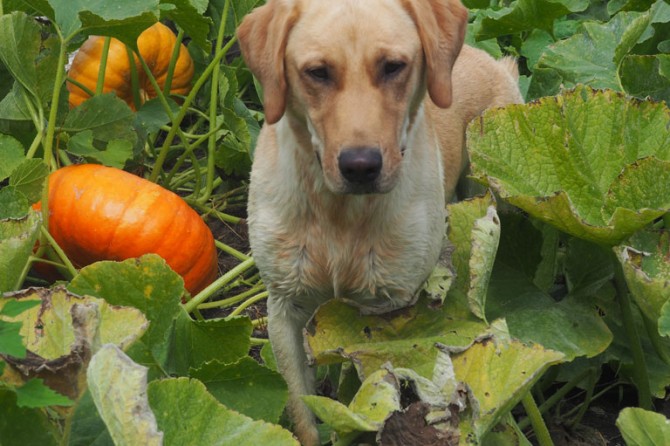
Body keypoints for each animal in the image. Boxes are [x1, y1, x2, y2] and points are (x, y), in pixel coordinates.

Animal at [236, 0, 524, 442]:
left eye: (393, 67)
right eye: (317, 72)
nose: (360, 166)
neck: (339, 213)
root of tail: (494, 61)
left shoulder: (394, 308)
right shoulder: (284, 306)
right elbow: (303, 408)